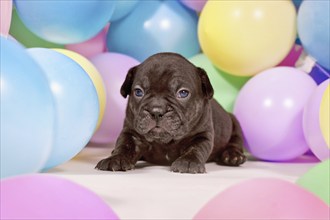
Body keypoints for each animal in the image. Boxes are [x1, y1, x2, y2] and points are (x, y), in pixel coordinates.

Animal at [95, 52, 245, 173]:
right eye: (138, 92)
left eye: (183, 93)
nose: (156, 111)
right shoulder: (131, 132)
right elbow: (124, 145)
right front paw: (116, 158)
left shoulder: (202, 135)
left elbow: (196, 148)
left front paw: (188, 162)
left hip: (235, 123)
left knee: (235, 141)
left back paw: (233, 156)